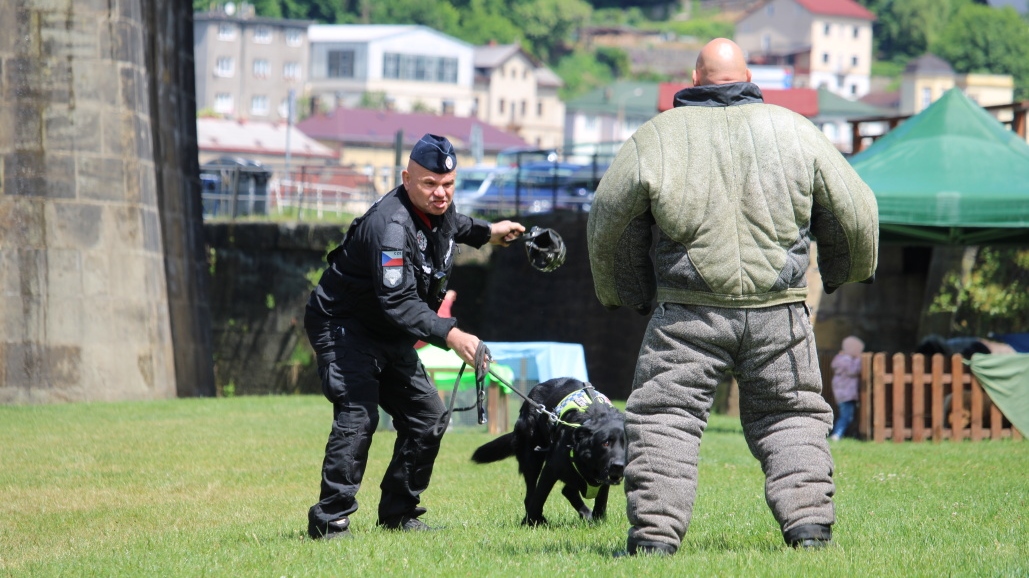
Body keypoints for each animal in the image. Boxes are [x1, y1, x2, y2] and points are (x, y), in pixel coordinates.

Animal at [469, 376, 625, 524]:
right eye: (605, 443)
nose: (618, 466)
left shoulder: (603, 477)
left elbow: (601, 499)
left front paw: (599, 520)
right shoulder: (551, 469)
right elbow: (539, 498)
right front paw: (530, 521)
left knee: (568, 490)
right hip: (531, 459)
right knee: (531, 495)